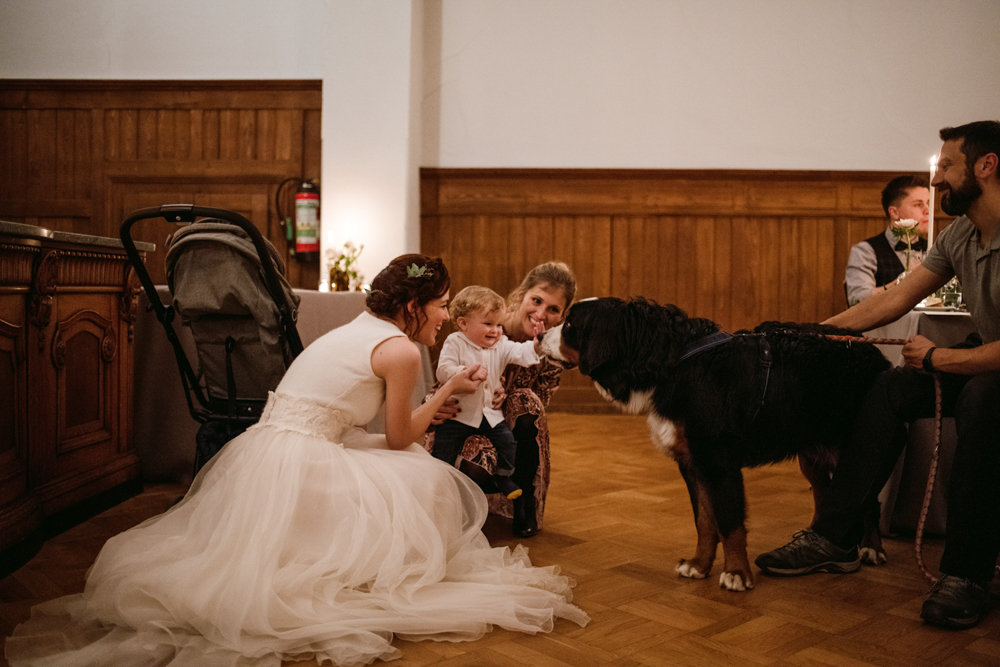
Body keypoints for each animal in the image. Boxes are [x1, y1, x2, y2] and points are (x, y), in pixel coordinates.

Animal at [544, 296, 888, 588]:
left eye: (570, 324)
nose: (541, 333)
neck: (673, 363)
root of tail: (871, 349)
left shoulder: (718, 462)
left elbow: (729, 522)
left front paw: (736, 573)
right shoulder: (692, 463)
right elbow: (706, 520)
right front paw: (699, 565)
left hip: (853, 445)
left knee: (867, 498)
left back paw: (870, 548)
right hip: (812, 450)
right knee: (822, 491)